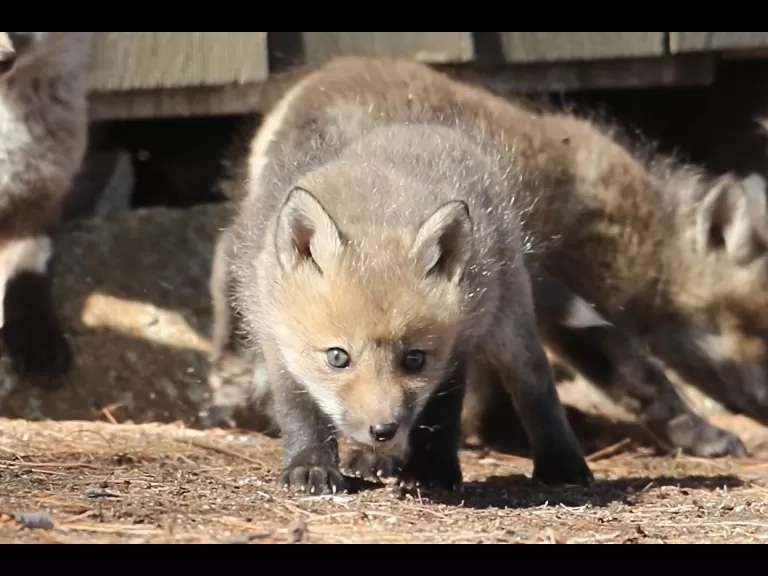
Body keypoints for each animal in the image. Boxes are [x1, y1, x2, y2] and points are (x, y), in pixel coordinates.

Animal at [209, 56, 759, 467]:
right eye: (758, 330)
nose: (766, 407)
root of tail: (310, 97)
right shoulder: (557, 290)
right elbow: (638, 375)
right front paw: (702, 433)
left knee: (226, 264)